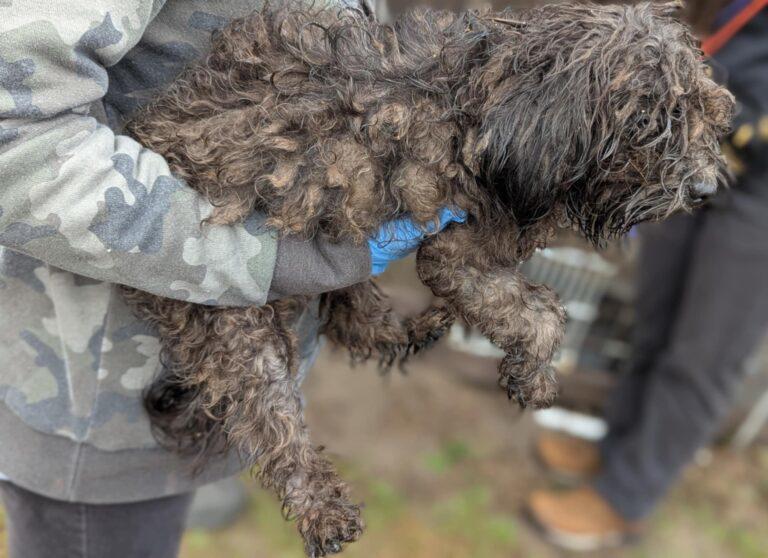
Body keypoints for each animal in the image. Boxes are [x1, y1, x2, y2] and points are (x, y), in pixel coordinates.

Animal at [120, 1, 732, 556]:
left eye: (701, 114)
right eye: (652, 122)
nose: (706, 189)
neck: (488, 104)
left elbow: (535, 307)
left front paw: (524, 367)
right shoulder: (452, 249)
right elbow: (539, 313)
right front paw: (532, 372)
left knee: (352, 312)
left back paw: (411, 331)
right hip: (225, 310)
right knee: (272, 417)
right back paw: (321, 508)